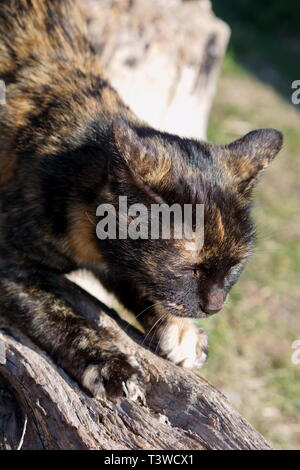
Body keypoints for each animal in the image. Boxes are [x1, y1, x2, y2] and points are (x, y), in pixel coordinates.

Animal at [0, 0, 284, 396]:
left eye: (235, 267)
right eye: (189, 268)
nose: (215, 305)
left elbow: (141, 282)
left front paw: (179, 331)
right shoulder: (9, 260)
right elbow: (53, 313)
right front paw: (107, 363)